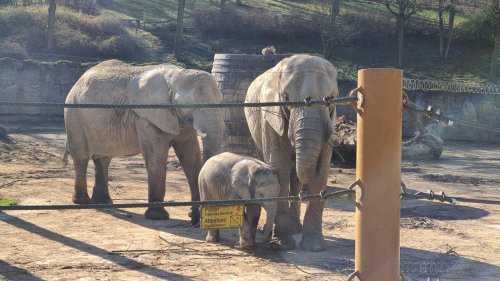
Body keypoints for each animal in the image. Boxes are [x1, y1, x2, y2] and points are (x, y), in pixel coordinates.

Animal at [63, 59, 226, 223]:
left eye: (221, 101)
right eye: (189, 105)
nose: (195, 220)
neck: (176, 75)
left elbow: (190, 156)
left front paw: (193, 214)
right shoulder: (146, 117)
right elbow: (157, 156)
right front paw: (158, 216)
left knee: (103, 159)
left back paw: (103, 202)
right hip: (74, 116)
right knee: (81, 157)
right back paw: (82, 201)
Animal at [243, 53, 338, 250]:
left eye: (330, 98)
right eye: (286, 98)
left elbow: (322, 169)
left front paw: (313, 247)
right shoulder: (270, 117)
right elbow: (279, 168)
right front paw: (285, 242)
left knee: (296, 180)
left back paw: (296, 229)